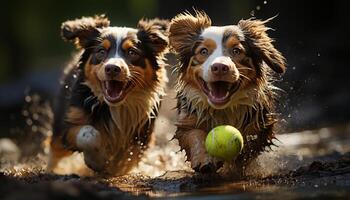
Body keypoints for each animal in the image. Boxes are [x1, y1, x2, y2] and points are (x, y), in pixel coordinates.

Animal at [47, 15, 170, 175]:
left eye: (132, 52)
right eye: (101, 51)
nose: (112, 68)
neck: (115, 107)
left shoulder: (142, 134)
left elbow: (127, 159)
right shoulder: (68, 127)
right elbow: (89, 133)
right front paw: (96, 160)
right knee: (54, 152)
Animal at [168, 10, 286, 173]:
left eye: (236, 50)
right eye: (203, 51)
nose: (219, 67)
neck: (223, 109)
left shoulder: (262, 123)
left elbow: (250, 144)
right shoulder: (187, 119)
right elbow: (195, 135)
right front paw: (204, 160)